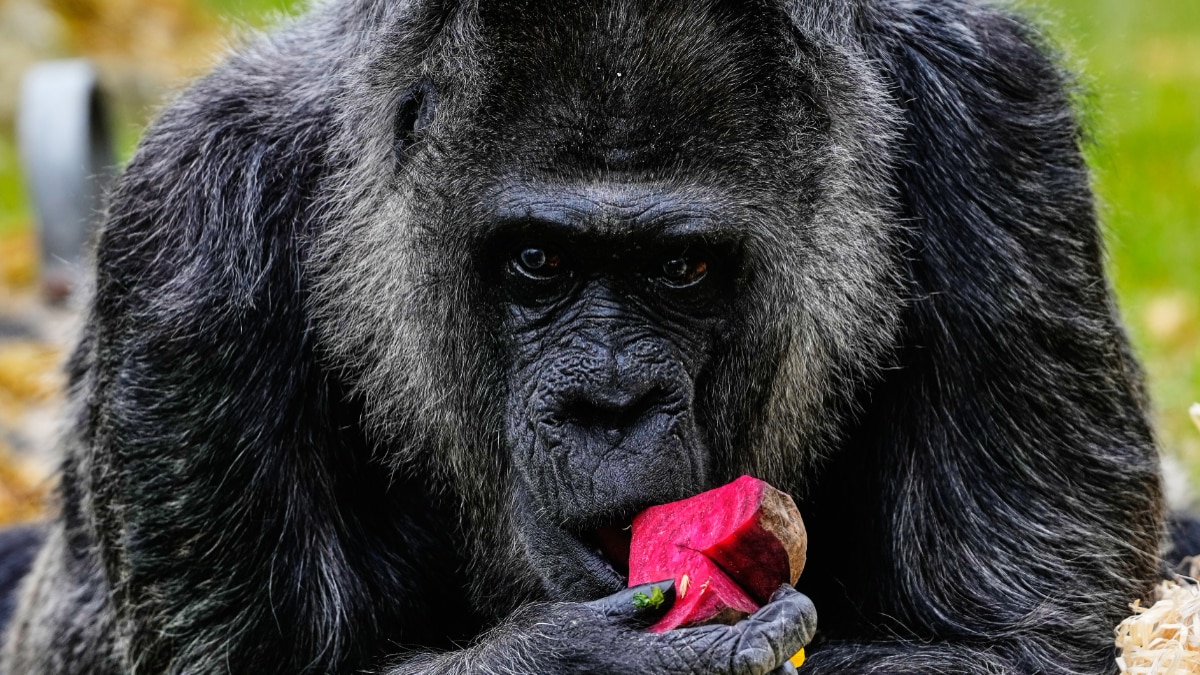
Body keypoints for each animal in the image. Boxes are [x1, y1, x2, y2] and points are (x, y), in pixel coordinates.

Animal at [0, 0, 1163, 673]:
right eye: (538, 262)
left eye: (681, 268)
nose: (609, 402)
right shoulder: (190, 225)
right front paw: (570, 663)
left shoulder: (998, 131)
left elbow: (1020, 643)